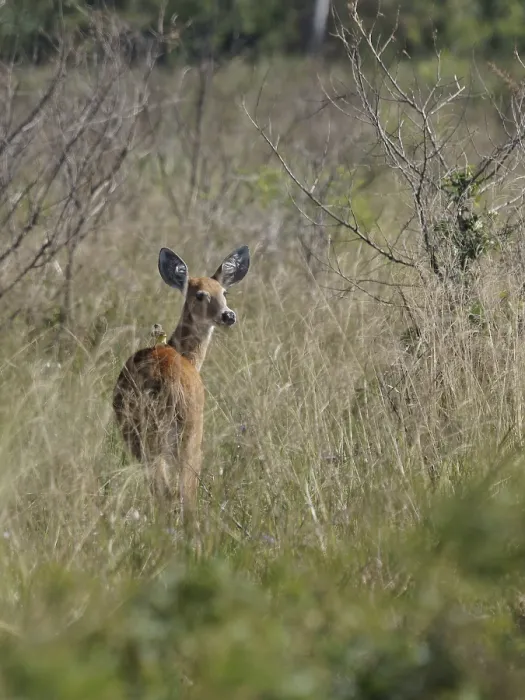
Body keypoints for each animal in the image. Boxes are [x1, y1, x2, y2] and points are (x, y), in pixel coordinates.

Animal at [112, 245, 250, 521]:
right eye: (200, 295)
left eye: (224, 292)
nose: (228, 315)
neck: (187, 356)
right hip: (189, 433)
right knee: (183, 492)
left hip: (139, 436)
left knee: (161, 490)